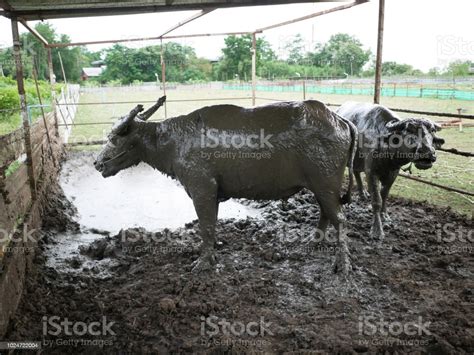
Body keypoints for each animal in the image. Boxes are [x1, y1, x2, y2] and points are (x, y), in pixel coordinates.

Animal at [95, 98, 356, 274]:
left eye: (114, 138)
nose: (97, 163)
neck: (173, 142)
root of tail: (340, 120)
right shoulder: (213, 193)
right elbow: (212, 226)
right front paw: (212, 253)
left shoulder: (202, 190)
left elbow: (205, 226)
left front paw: (202, 263)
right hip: (321, 188)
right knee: (325, 213)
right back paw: (314, 242)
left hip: (325, 184)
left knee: (340, 219)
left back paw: (342, 265)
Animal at [336, 101, 442, 239]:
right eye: (410, 129)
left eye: (432, 131)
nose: (427, 152)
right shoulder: (371, 172)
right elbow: (377, 200)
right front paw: (377, 229)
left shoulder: (393, 173)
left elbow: (384, 195)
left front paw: (385, 216)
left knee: (356, 171)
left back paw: (363, 193)